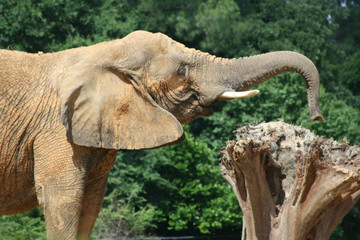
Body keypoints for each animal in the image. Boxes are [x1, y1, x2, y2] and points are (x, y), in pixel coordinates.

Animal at [0, 31, 324, 239]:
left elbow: (91, 203)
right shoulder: (55, 131)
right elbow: (62, 199)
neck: (105, 50)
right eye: (181, 71)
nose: (316, 116)